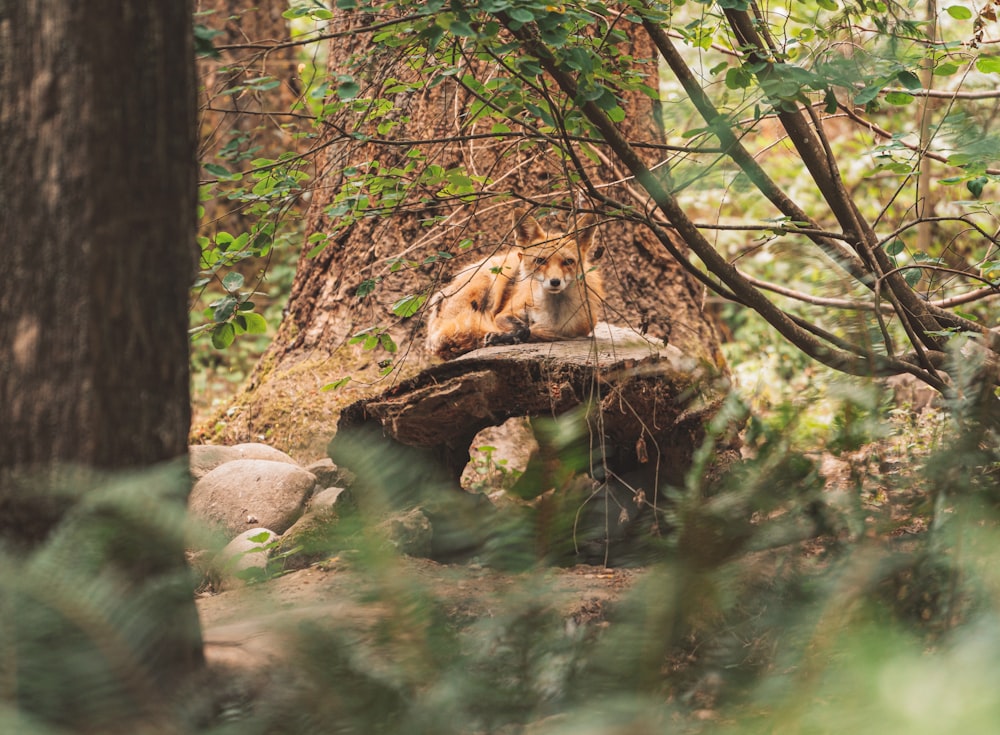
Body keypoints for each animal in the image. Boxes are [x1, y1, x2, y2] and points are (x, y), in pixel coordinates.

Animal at [426, 208, 604, 360]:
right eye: (540, 260)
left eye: (568, 262)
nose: (555, 282)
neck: (554, 315)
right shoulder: (504, 314)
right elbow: (524, 328)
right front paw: (502, 337)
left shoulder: (583, 327)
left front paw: (503, 338)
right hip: (490, 282)